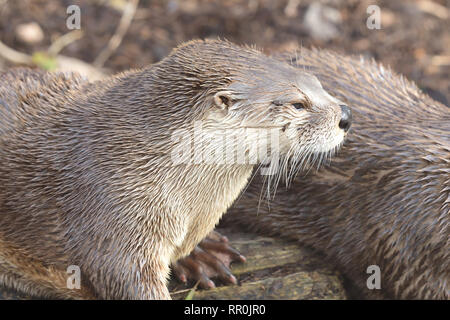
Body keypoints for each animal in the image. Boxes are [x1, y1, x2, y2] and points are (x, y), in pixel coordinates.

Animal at [0, 40, 352, 300]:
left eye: (317, 83)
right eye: (297, 104)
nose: (346, 116)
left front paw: (200, 253)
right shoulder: (112, 210)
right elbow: (122, 277)